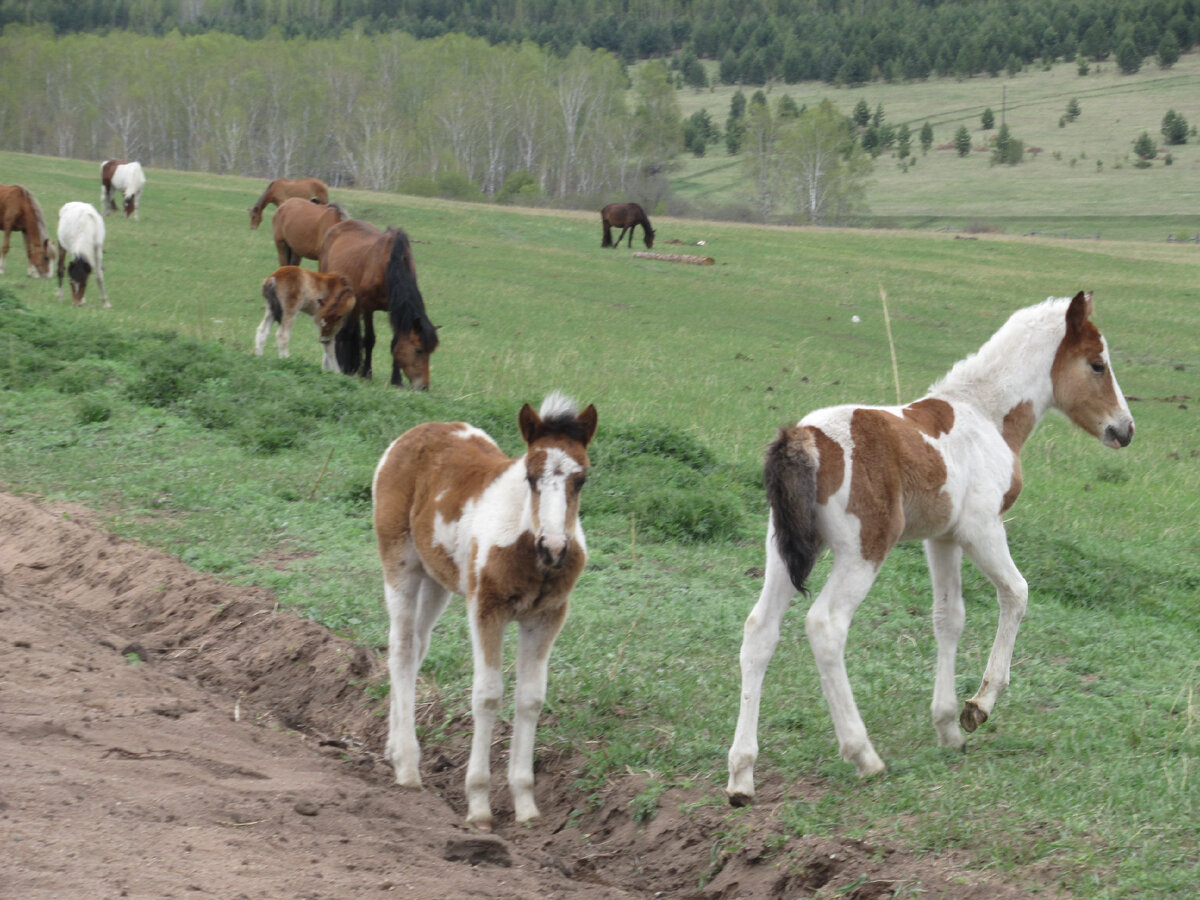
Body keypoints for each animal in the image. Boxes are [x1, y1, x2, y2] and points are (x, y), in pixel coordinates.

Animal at [319, 219, 441, 391]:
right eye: (418, 350)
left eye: (431, 352)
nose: (423, 387)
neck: (389, 266)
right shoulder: (368, 307)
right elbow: (369, 339)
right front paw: (367, 373)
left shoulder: (394, 310)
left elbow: (395, 343)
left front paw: (396, 380)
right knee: (343, 332)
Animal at [372, 393, 597, 830]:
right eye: (530, 476)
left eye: (581, 479)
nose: (555, 547)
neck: (526, 542)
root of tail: (415, 433)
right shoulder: (486, 609)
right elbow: (488, 695)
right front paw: (478, 806)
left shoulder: (546, 617)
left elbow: (530, 698)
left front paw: (526, 805)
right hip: (401, 562)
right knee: (402, 646)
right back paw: (408, 767)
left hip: (437, 580)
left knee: (416, 648)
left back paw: (393, 748)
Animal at [720, 292, 1132, 806]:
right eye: (1098, 364)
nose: (1125, 429)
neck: (985, 414)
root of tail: (803, 439)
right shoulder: (982, 528)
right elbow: (1016, 593)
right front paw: (978, 707)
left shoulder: (943, 538)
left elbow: (948, 618)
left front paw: (948, 726)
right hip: (864, 550)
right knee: (825, 625)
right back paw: (864, 755)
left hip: (782, 549)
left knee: (759, 631)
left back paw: (741, 775)